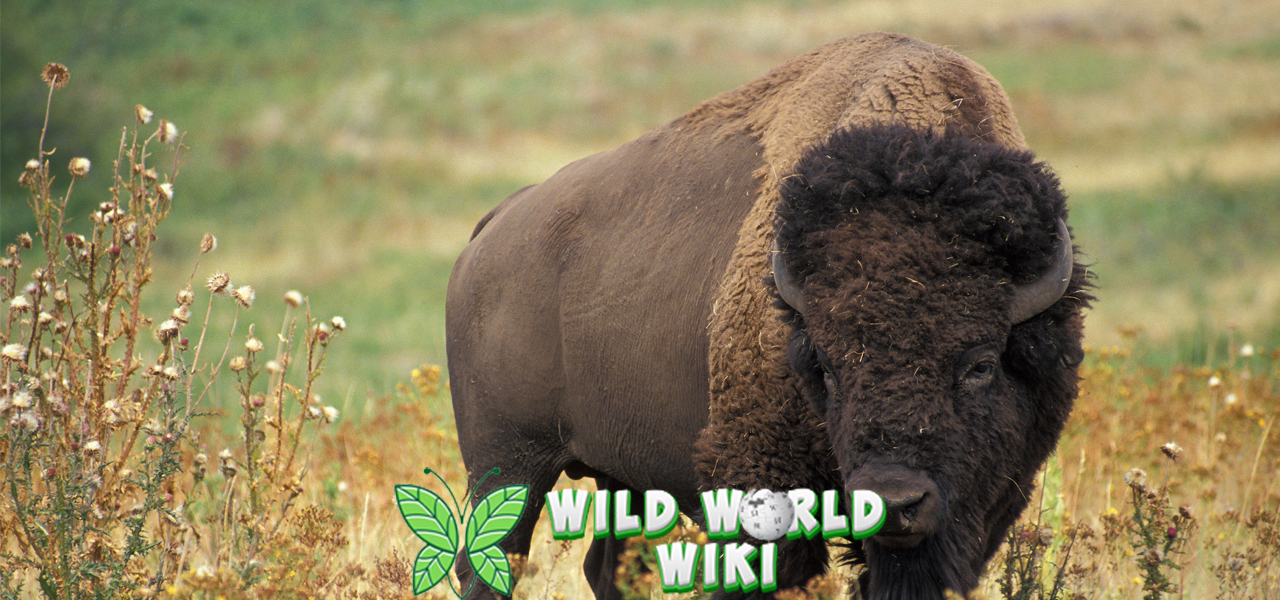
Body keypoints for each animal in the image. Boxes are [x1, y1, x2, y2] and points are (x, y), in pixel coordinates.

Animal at [445, 32, 1090, 599]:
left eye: (981, 364)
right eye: (825, 367)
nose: (893, 502)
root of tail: (491, 230)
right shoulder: (758, 481)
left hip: (617, 475)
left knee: (607, 568)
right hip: (507, 465)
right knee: (489, 562)